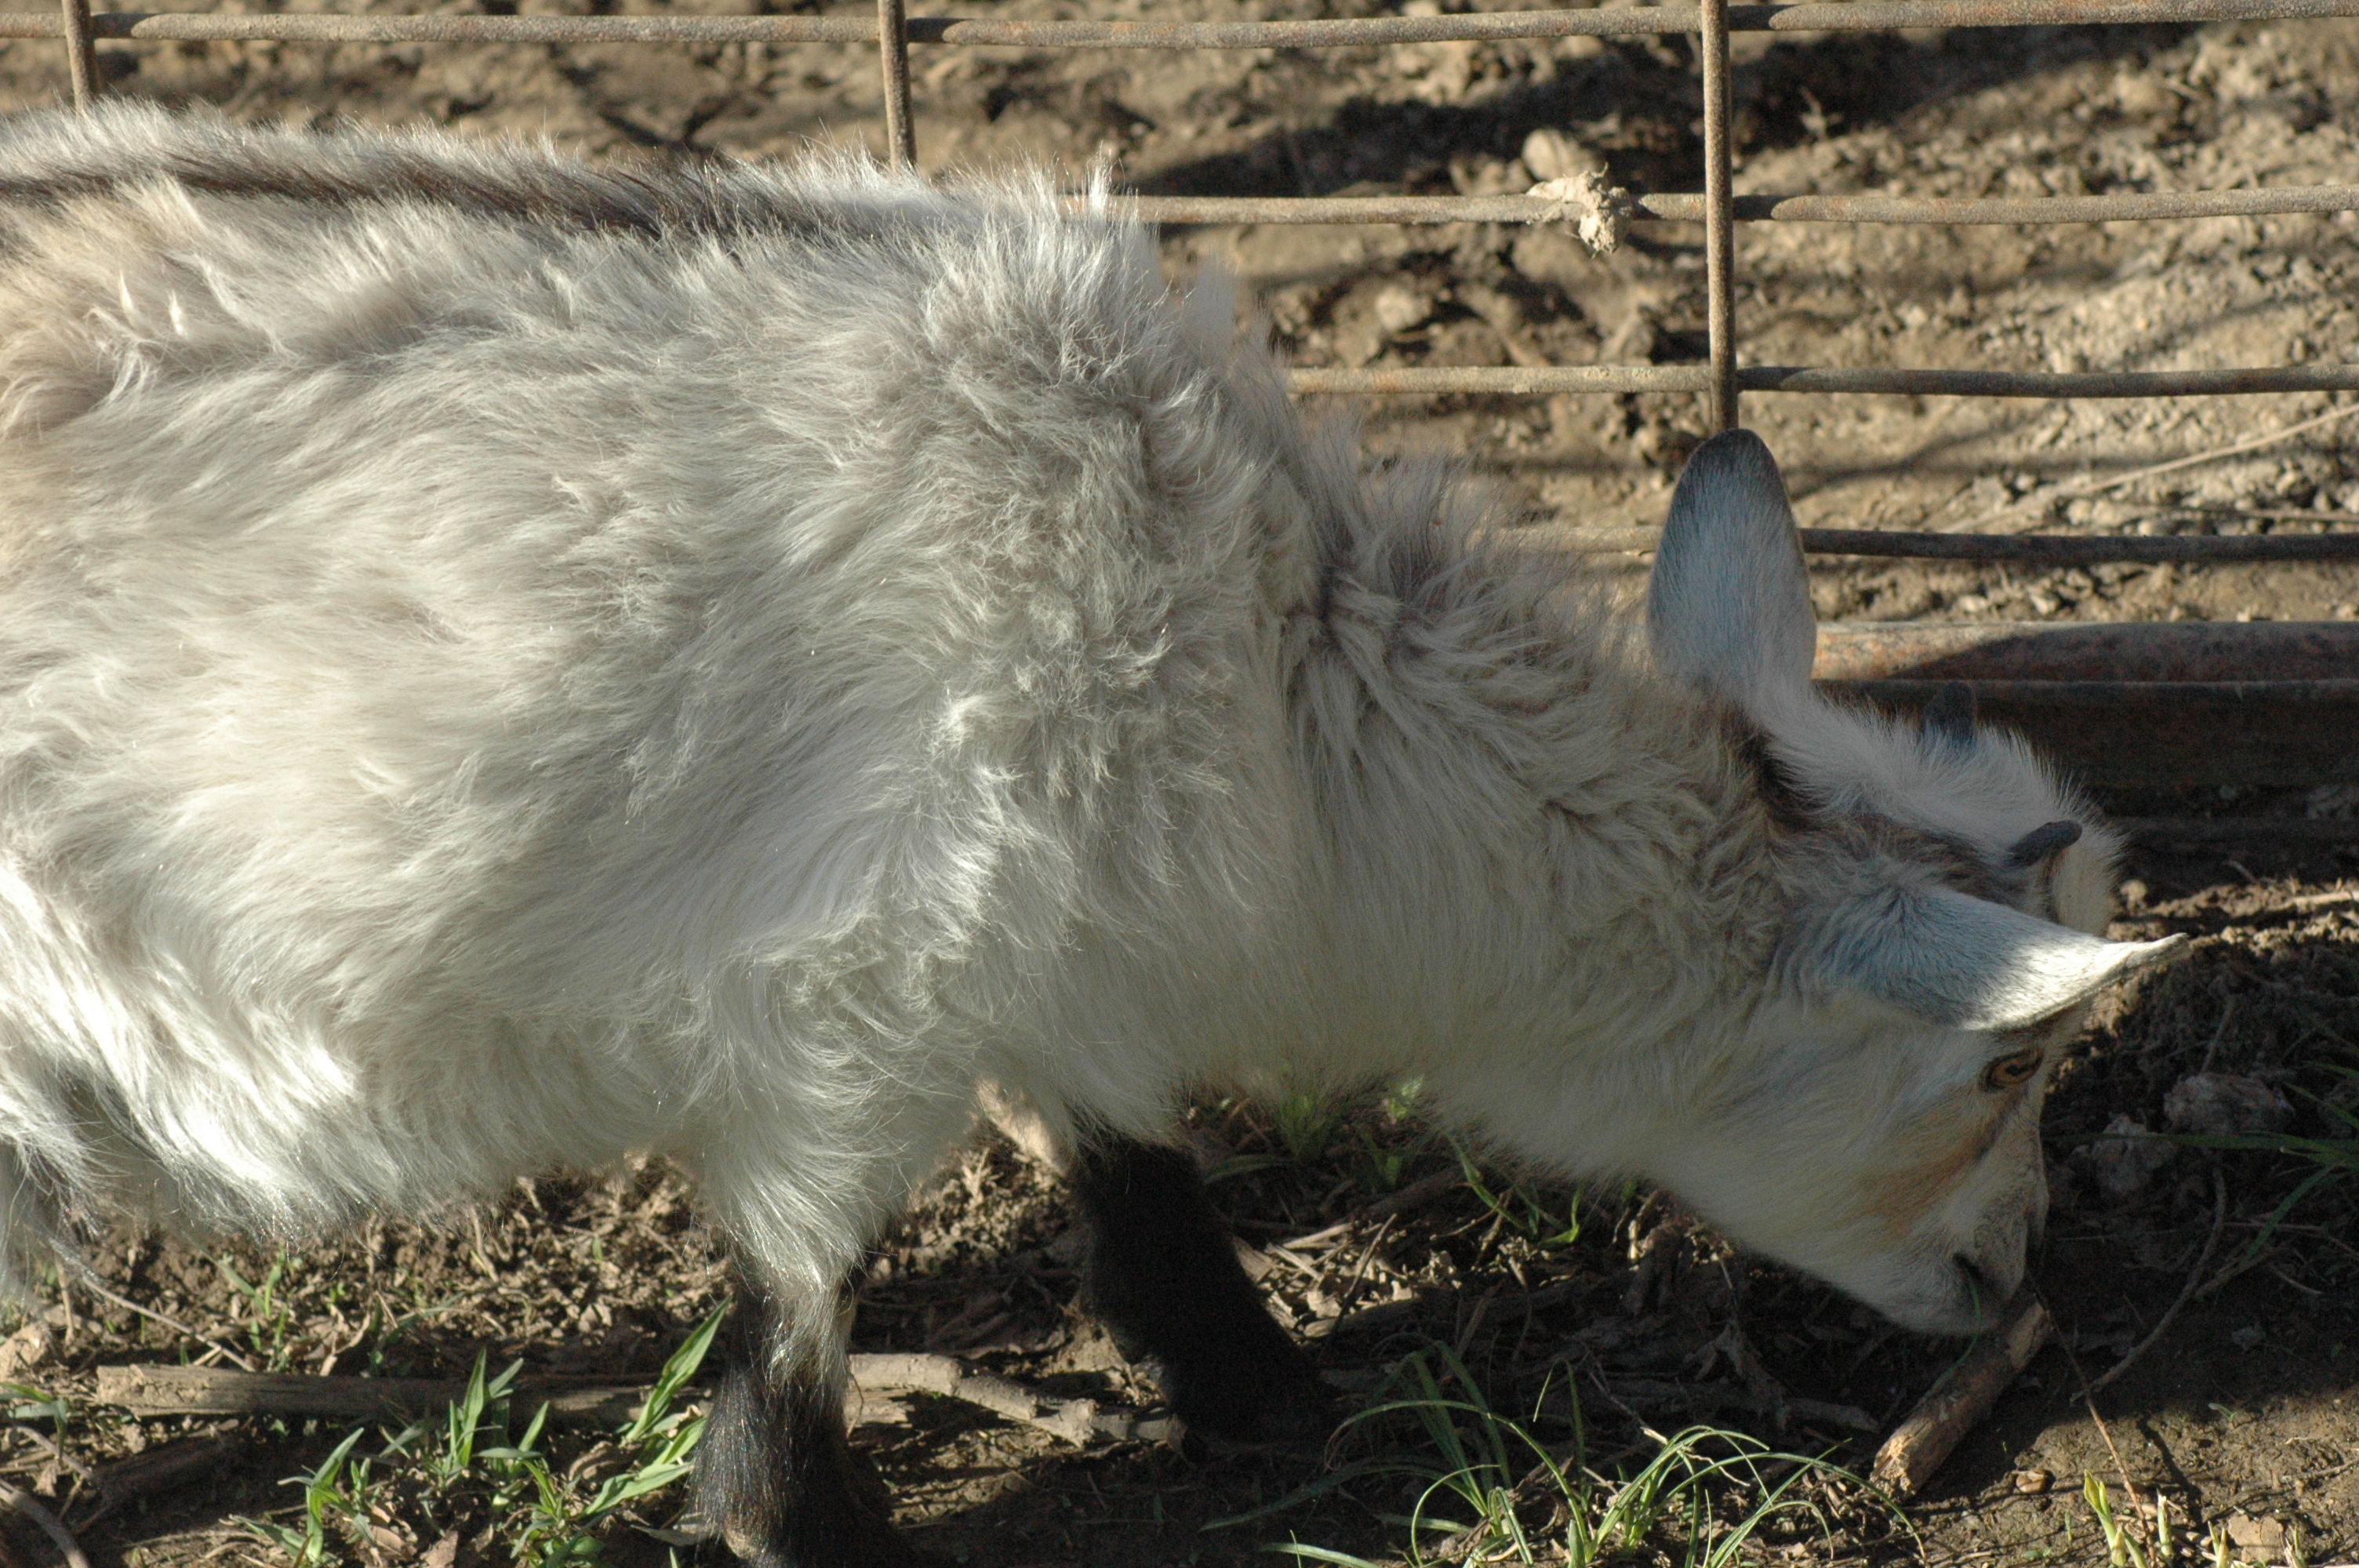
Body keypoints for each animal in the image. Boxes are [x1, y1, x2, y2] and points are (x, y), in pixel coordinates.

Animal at [0, 105, 2182, 1566]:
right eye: (2001, 1067)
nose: (2013, 1279)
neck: (1284, 678)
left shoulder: (1050, 929)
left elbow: (1122, 1142)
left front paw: (1260, 1390)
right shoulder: (851, 1000)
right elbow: (802, 1301)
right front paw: (804, 1525)